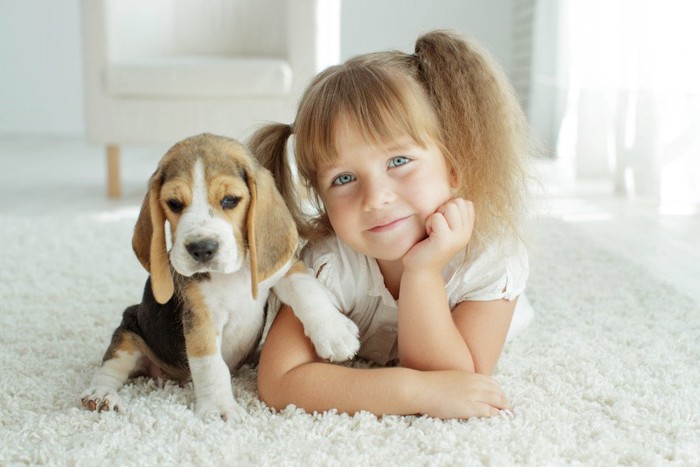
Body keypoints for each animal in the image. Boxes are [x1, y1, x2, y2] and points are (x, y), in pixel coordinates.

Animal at [79, 133, 358, 420]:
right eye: (174, 204)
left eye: (230, 200)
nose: (202, 248)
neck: (232, 274)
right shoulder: (201, 319)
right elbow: (210, 365)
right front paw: (219, 408)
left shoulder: (283, 269)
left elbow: (307, 290)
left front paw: (335, 334)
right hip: (129, 330)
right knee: (110, 368)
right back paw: (100, 396)